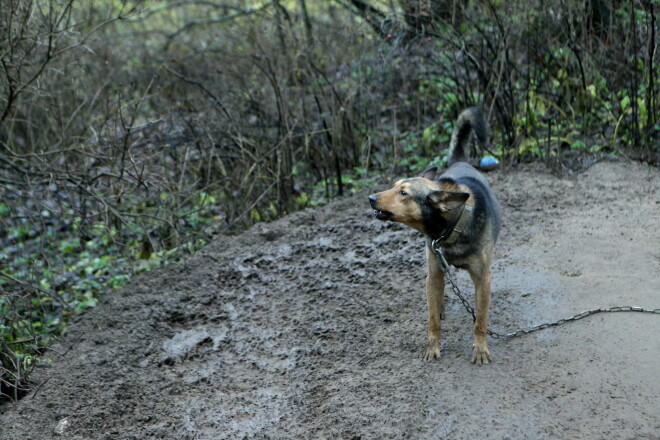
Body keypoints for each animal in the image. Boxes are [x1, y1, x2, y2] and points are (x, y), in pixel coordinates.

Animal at [368, 106, 502, 364]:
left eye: (403, 193)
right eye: (394, 185)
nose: (370, 198)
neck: (451, 227)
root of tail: (460, 161)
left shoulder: (483, 279)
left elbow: (480, 319)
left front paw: (480, 348)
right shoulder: (434, 271)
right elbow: (431, 320)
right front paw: (432, 347)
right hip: (435, 273)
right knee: (435, 296)